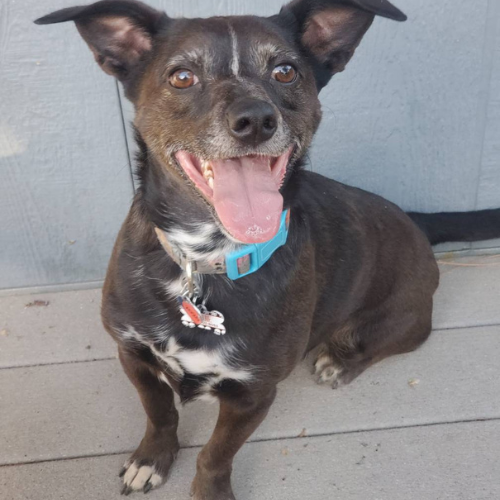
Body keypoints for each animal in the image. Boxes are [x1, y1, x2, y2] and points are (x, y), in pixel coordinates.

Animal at [35, 1, 500, 498]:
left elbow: (216, 454)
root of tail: (414, 218)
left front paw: (210, 491)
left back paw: (340, 361)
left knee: (396, 337)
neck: (205, 260)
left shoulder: (254, 393)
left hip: (403, 319)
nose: (256, 120)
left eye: (285, 71)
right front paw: (151, 458)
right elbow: (159, 414)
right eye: (182, 76)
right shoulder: (133, 355)